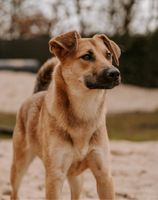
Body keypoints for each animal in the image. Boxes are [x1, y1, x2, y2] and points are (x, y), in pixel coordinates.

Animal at [10, 30, 121, 199]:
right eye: (87, 56)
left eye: (108, 55)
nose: (115, 73)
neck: (84, 110)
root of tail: (35, 94)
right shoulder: (55, 177)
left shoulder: (104, 176)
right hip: (19, 165)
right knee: (14, 191)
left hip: (76, 178)